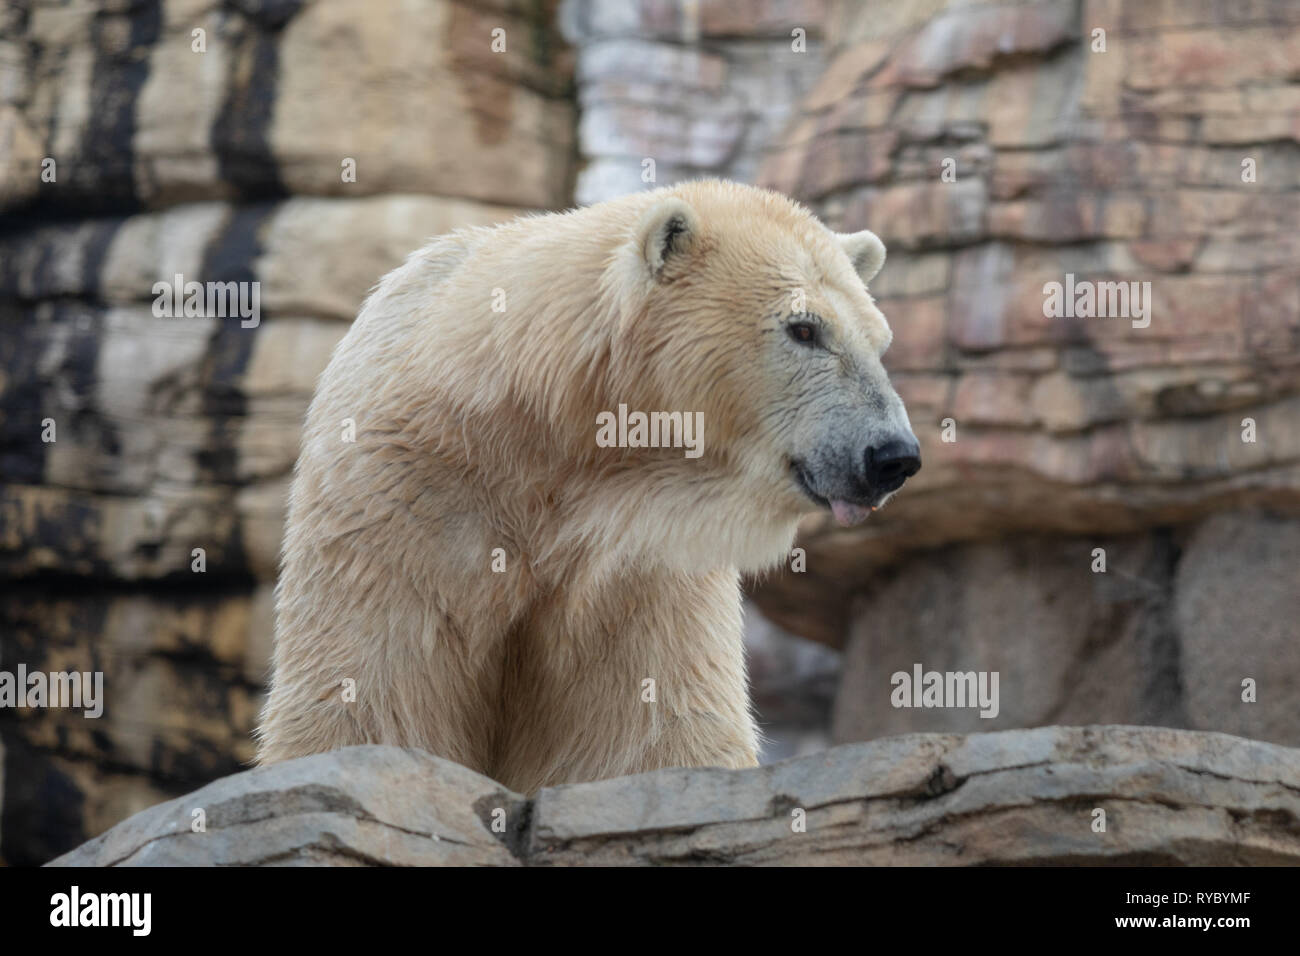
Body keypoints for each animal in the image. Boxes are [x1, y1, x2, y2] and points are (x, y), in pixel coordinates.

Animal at [253, 179, 920, 790]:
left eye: (880, 340)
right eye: (804, 329)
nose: (893, 455)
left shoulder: (642, 553)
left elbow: (651, 712)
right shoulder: (404, 492)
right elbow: (370, 681)